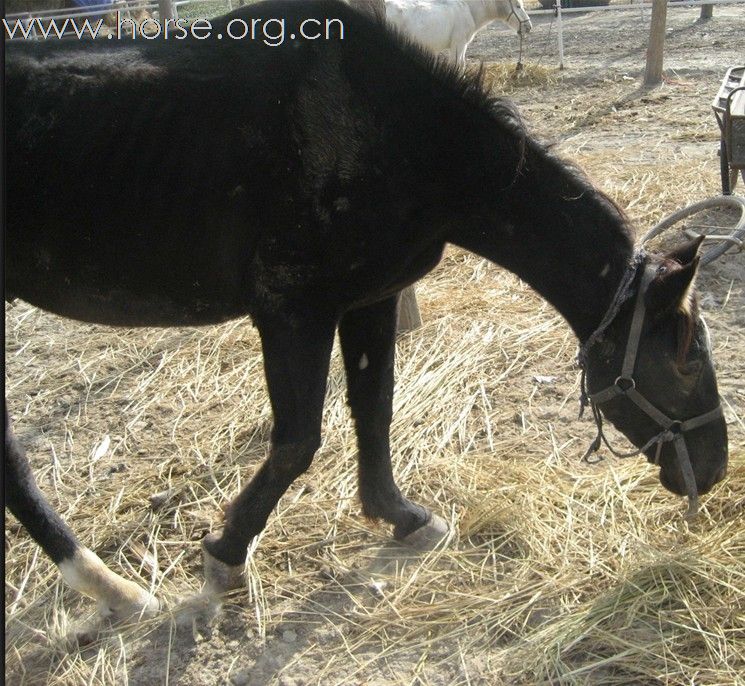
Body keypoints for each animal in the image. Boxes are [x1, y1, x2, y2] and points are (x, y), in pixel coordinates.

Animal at [384, 0, 528, 68]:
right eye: (518, 6)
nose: (528, 26)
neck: (468, 9)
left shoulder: (463, 45)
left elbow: (462, 65)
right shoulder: (458, 44)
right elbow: (456, 66)